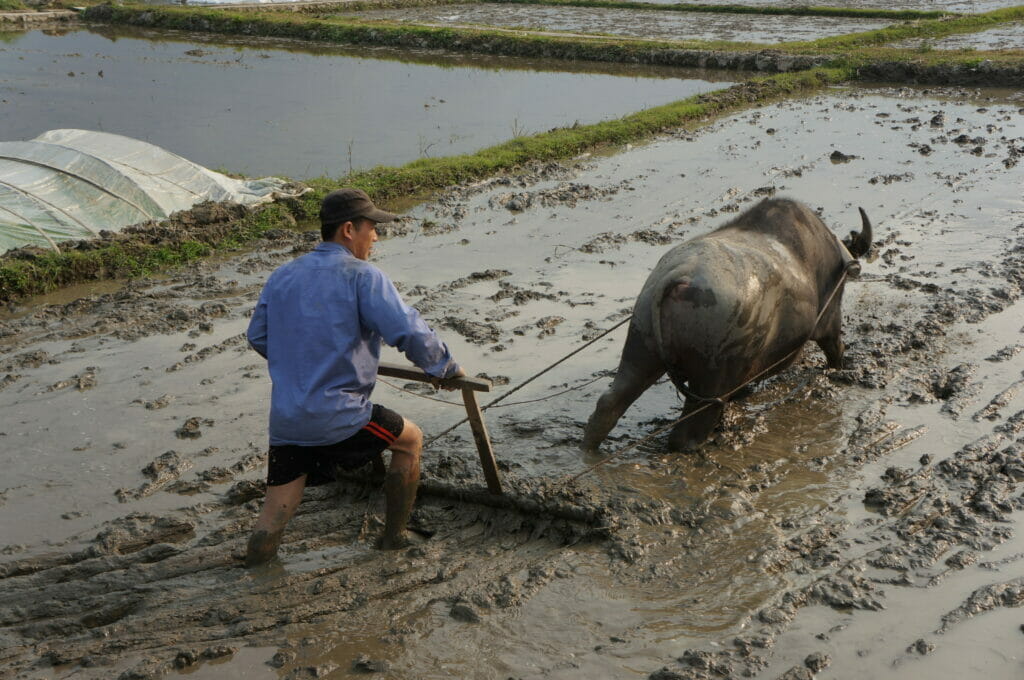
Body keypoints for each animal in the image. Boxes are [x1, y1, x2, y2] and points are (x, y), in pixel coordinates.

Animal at [585, 196, 872, 450]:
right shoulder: (829, 323)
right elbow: (836, 349)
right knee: (687, 434)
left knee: (610, 404)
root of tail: (678, 277)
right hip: (713, 379)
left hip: (640, 346)